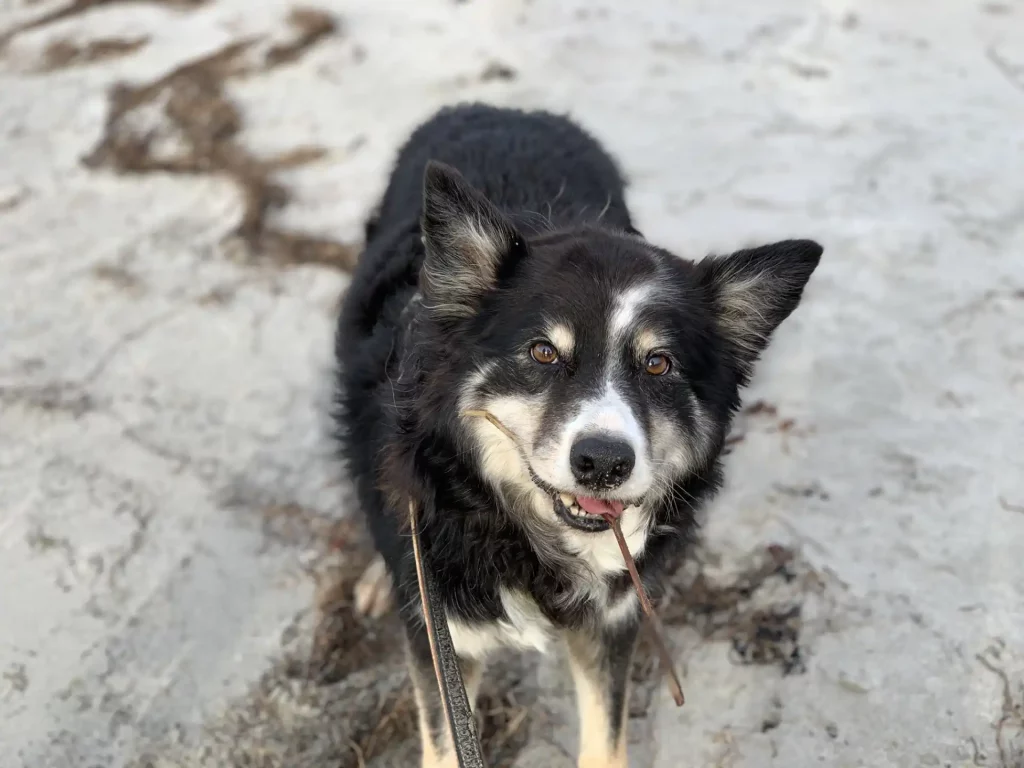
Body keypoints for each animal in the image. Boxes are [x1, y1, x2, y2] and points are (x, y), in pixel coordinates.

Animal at [335, 103, 823, 768]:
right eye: (543, 352)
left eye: (658, 364)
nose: (603, 463)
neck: (512, 526)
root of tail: (503, 108)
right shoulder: (445, 642)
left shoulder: (614, 619)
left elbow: (606, 739)